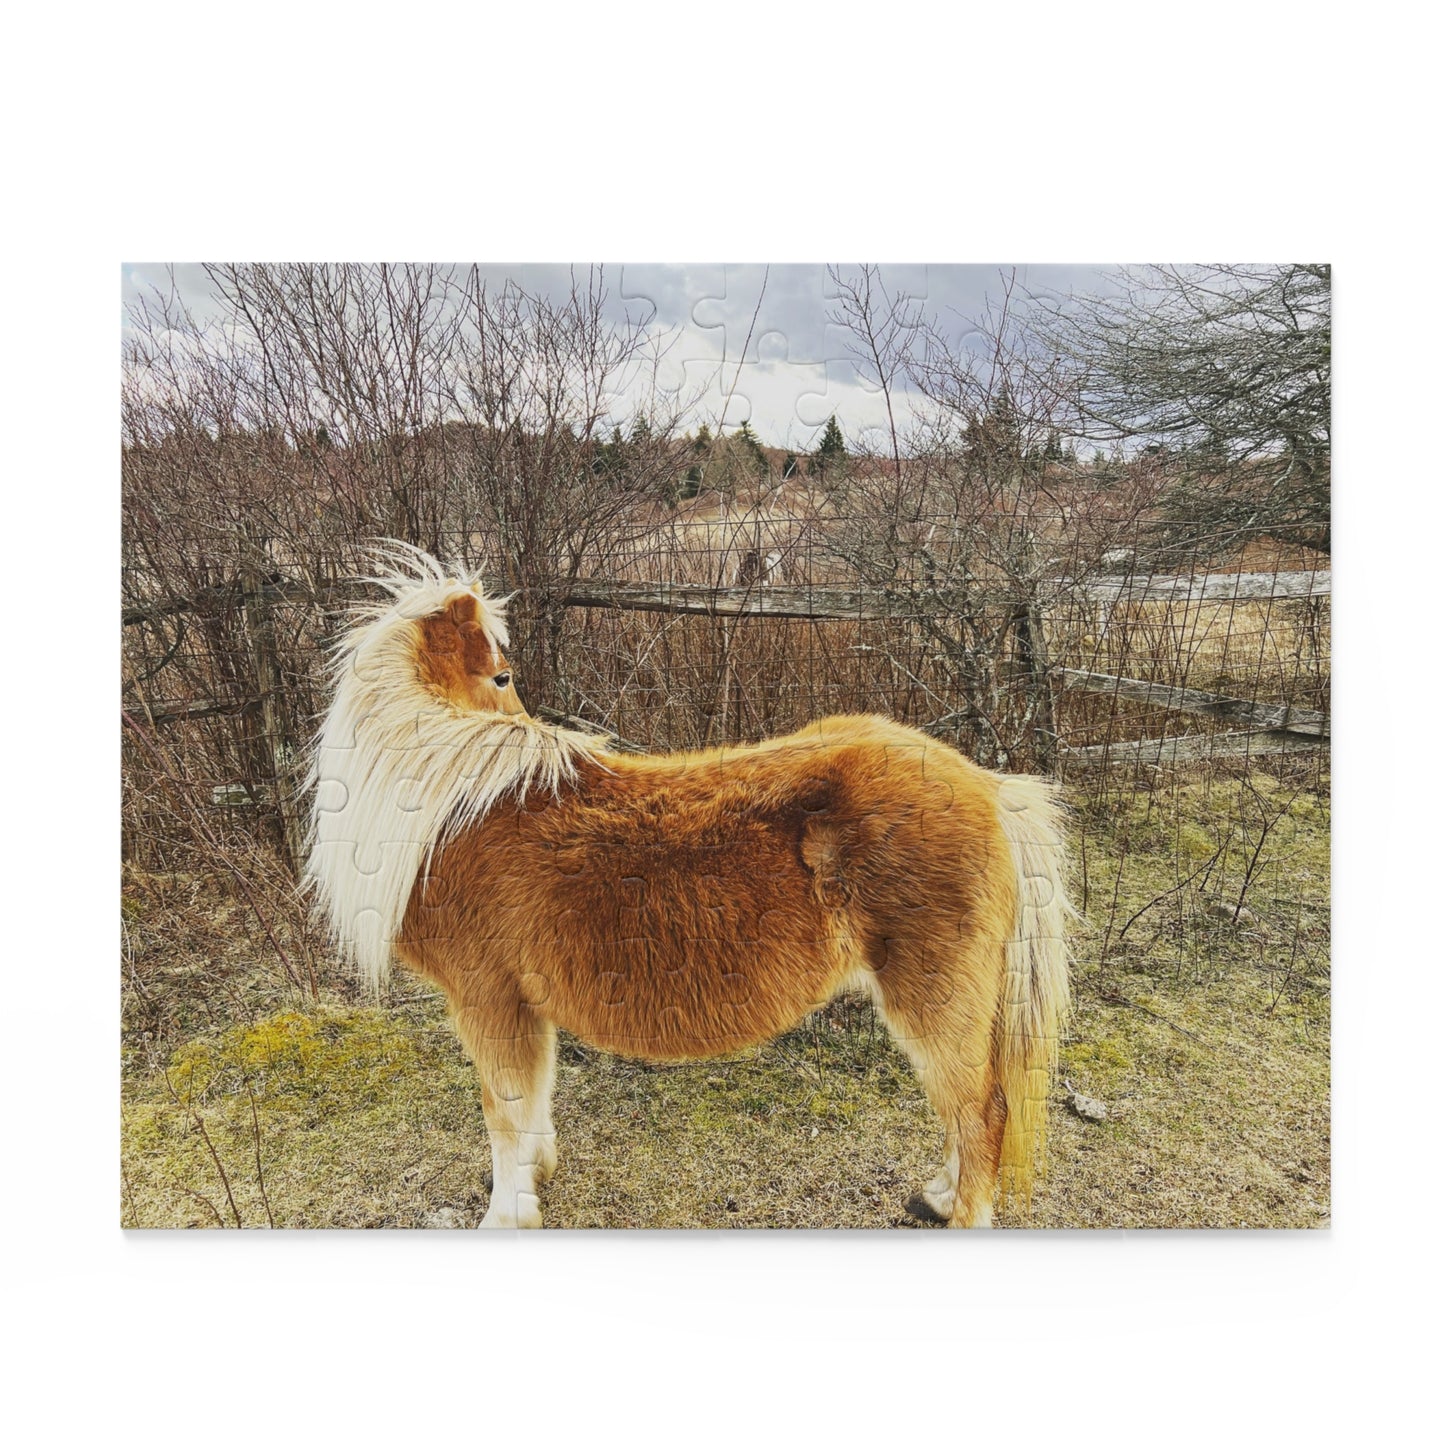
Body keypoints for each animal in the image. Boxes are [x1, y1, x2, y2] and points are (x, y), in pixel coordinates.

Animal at [305, 545, 1072, 1228]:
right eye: (499, 676)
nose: (521, 716)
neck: (455, 806)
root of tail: (988, 786)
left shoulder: (486, 998)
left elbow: (504, 1112)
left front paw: (507, 1215)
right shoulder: (522, 1003)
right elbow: (533, 1102)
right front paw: (538, 1176)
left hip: (933, 996)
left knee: (980, 1111)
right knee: (966, 1113)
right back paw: (936, 1196)